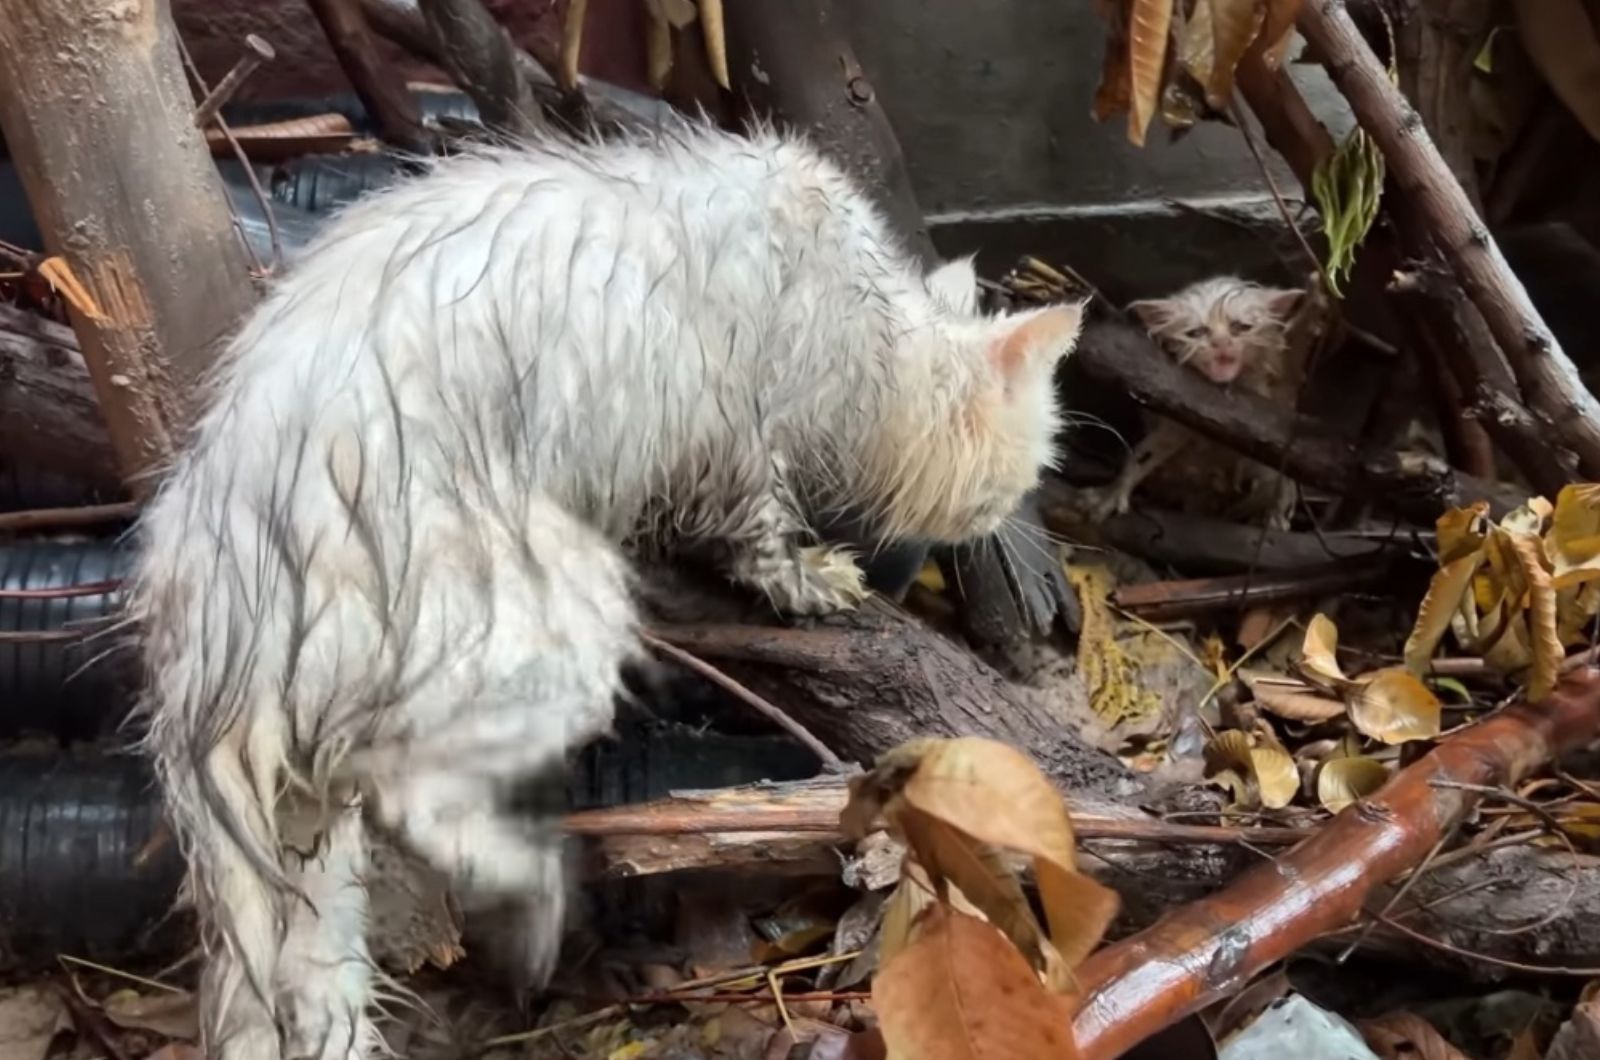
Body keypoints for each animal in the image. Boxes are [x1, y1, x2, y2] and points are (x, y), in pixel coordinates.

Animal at [134, 118, 1088, 1060]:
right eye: (1022, 476)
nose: (1001, 521)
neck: (874, 331)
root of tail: (225, 628)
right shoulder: (740, 436)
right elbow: (762, 541)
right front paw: (815, 579)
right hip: (545, 614)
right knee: (414, 793)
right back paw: (536, 889)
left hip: (314, 832)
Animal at [1094, 275, 1305, 528]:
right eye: (1196, 333)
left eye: (1240, 327)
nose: (1221, 343)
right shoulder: (1179, 417)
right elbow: (1148, 452)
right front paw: (1113, 493)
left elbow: (1275, 472)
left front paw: (1276, 511)